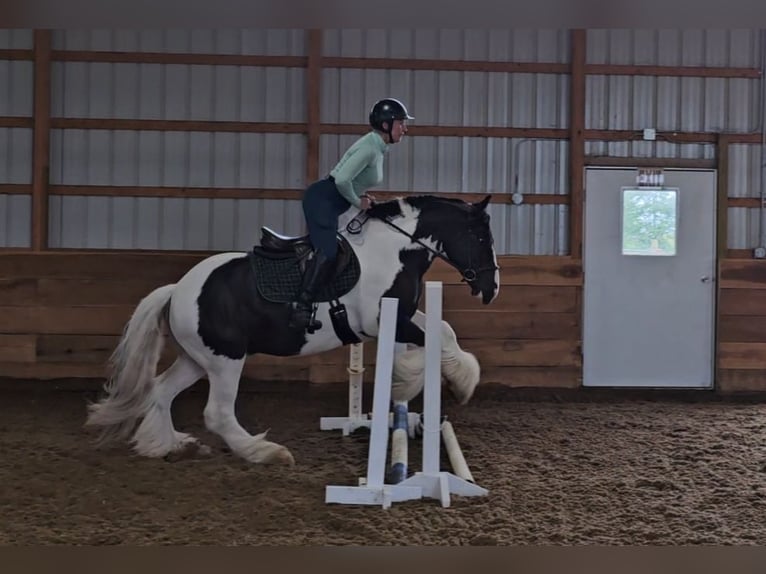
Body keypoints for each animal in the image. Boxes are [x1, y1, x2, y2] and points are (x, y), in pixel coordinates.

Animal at [85, 196, 504, 466]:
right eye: (482, 238)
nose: (491, 288)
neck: (395, 249)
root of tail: (177, 290)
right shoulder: (385, 320)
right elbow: (441, 335)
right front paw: (459, 382)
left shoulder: (398, 318)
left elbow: (442, 330)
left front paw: (412, 384)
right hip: (225, 360)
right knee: (217, 413)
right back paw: (265, 452)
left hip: (196, 359)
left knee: (160, 391)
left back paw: (167, 445)